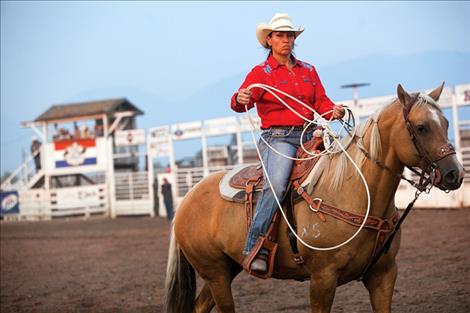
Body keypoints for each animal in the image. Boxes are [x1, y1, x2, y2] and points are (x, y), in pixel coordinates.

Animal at [163, 83, 464, 312]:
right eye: (422, 127)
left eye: (447, 122)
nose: (455, 174)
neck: (355, 192)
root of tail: (186, 200)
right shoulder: (322, 279)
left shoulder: (384, 275)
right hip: (214, 272)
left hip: (227, 268)